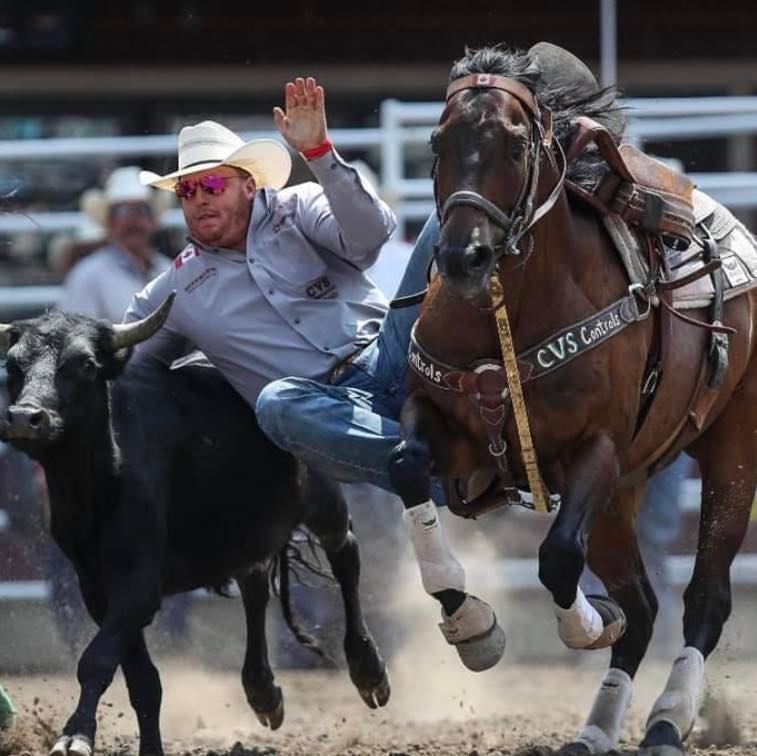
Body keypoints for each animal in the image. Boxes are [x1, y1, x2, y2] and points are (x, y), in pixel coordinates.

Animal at [387, 45, 757, 756]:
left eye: (514, 144)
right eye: (438, 143)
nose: (463, 256)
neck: (509, 309)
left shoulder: (598, 452)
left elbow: (558, 558)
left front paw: (586, 625)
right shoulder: (446, 426)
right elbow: (405, 467)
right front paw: (471, 621)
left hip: (729, 452)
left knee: (704, 597)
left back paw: (668, 719)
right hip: (624, 493)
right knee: (643, 605)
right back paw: (596, 727)